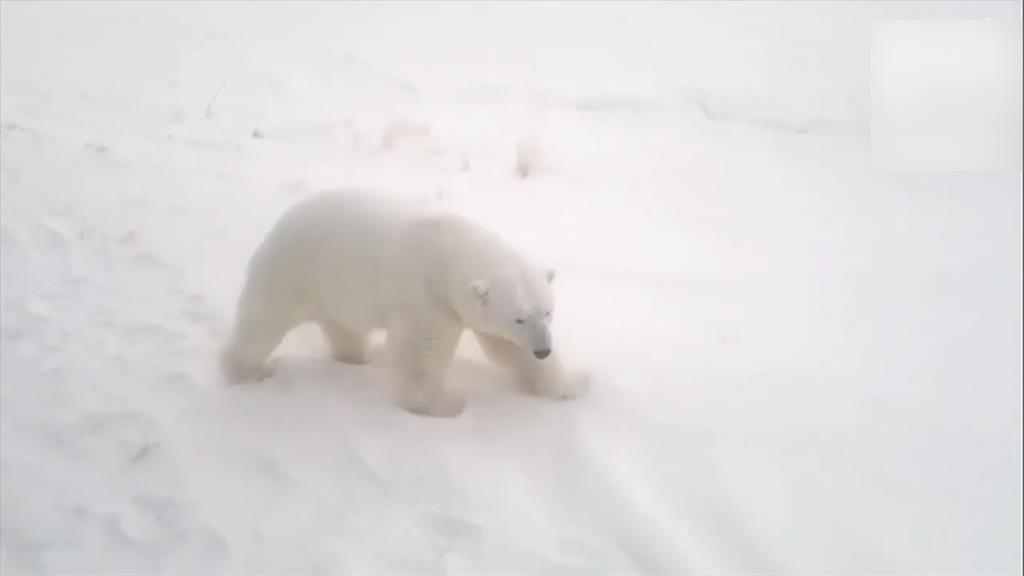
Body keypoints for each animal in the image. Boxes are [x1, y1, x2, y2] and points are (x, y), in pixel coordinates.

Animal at [222, 190, 593, 414]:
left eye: (547, 312)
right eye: (518, 318)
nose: (543, 348)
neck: (448, 252)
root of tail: (283, 220)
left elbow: (508, 349)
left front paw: (568, 387)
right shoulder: (425, 296)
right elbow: (421, 352)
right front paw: (441, 405)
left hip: (336, 289)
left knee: (344, 328)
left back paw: (360, 357)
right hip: (294, 272)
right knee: (263, 321)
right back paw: (248, 371)